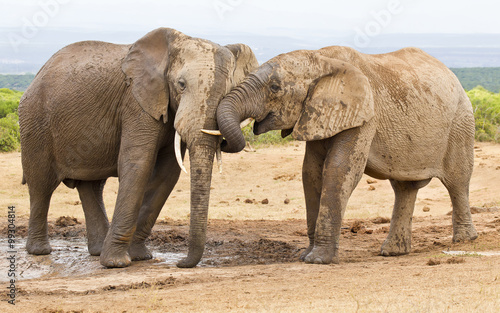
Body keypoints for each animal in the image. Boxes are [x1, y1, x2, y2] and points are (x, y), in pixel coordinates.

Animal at [19, 26, 258, 266]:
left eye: (228, 91)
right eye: (181, 85)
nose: (180, 262)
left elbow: (166, 174)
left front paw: (140, 257)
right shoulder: (137, 102)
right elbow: (139, 165)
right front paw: (117, 263)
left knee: (91, 187)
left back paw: (97, 250)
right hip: (35, 122)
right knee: (41, 185)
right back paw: (40, 251)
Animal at [213, 44, 478, 264]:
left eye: (275, 88)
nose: (222, 142)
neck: (322, 59)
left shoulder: (364, 114)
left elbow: (338, 169)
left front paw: (318, 260)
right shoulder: (319, 113)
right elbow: (310, 173)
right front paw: (305, 256)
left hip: (461, 122)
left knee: (457, 181)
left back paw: (465, 240)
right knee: (404, 188)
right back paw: (393, 252)